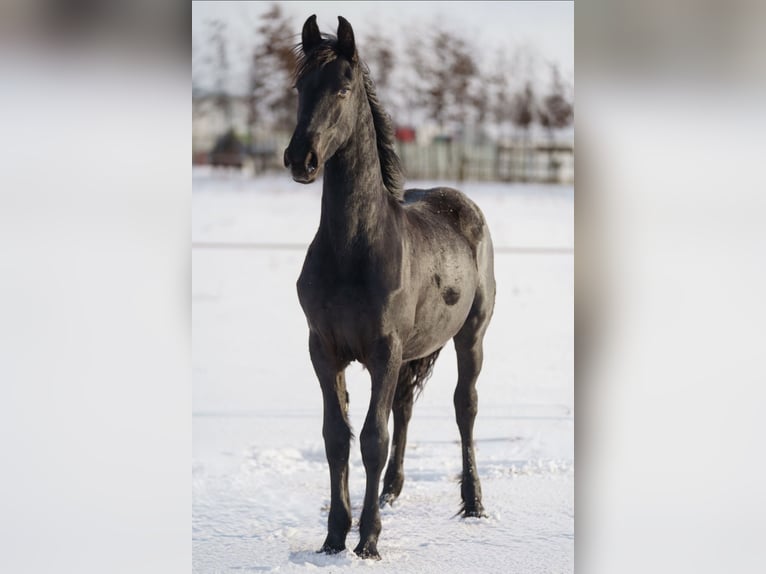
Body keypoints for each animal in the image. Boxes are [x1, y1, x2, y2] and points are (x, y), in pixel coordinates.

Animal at [284, 15, 496, 560]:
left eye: (343, 86)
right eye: (300, 86)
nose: (300, 159)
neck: (353, 250)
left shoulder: (384, 350)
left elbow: (371, 438)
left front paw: (368, 542)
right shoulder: (323, 349)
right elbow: (336, 437)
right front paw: (334, 535)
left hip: (471, 336)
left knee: (466, 407)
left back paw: (474, 503)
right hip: (412, 353)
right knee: (405, 408)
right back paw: (392, 491)